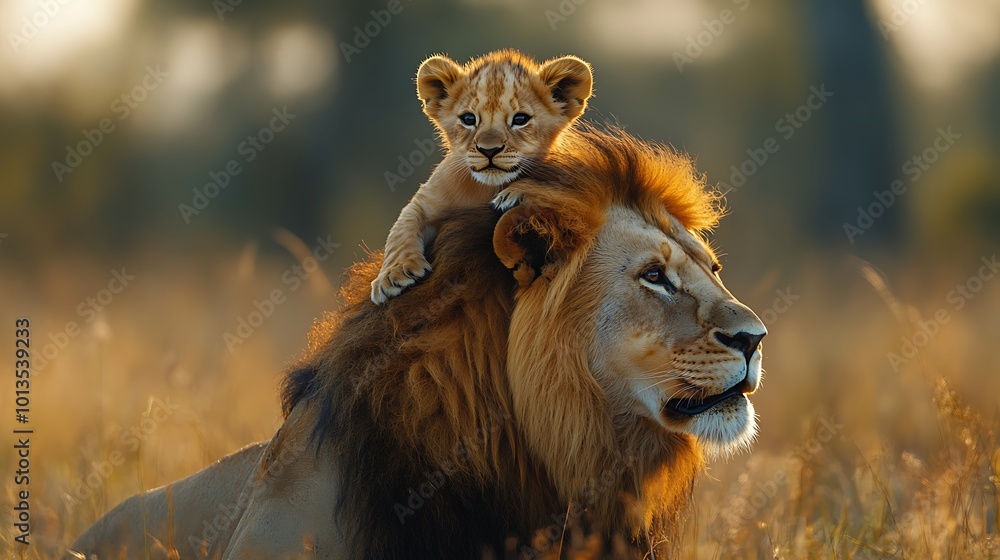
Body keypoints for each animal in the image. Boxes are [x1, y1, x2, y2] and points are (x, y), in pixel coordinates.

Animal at [370, 49, 593, 304]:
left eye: (520, 119)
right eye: (469, 119)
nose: (489, 150)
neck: (488, 187)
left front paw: (514, 194)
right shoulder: (426, 200)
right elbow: (401, 226)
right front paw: (393, 274)